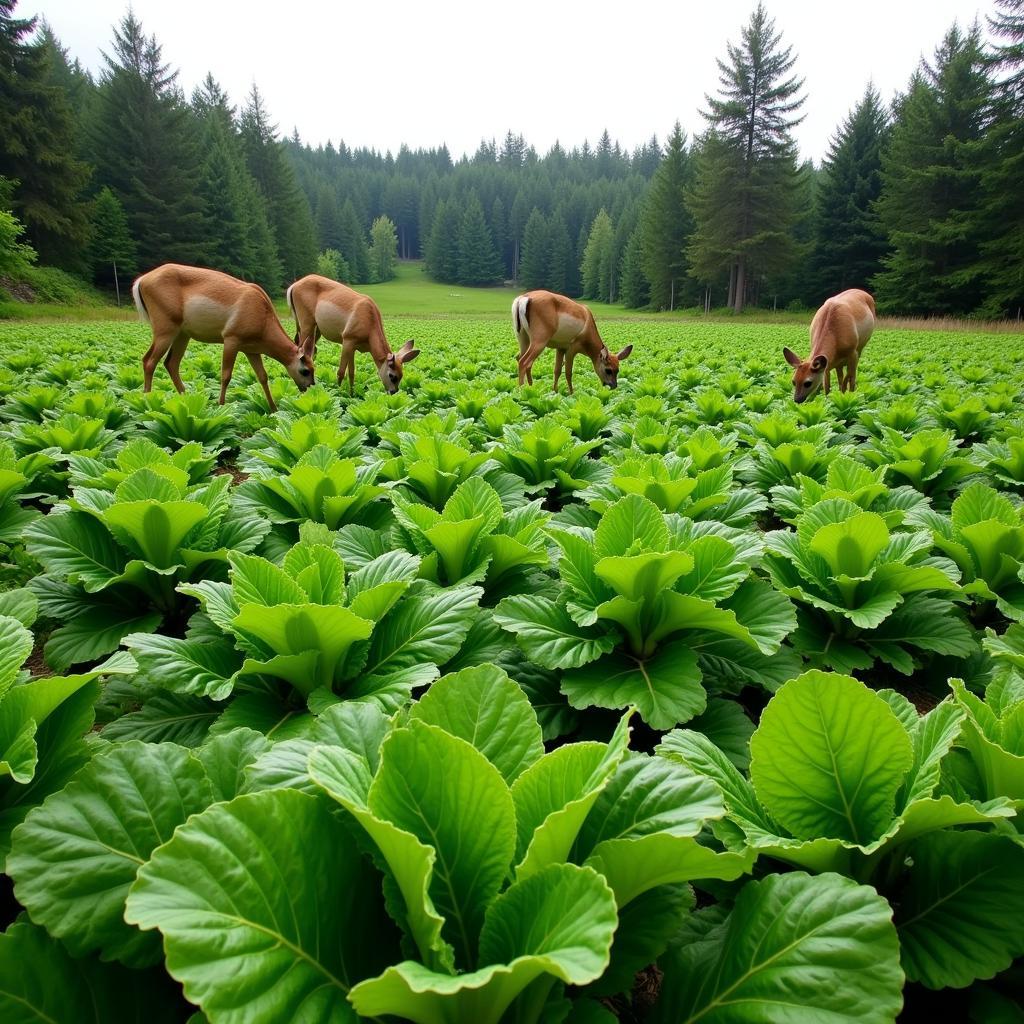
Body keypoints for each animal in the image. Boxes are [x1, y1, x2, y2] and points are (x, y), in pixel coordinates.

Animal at [132, 264, 315, 411]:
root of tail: (142, 280)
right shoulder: (231, 341)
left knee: (171, 363)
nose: (309, 389)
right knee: (149, 361)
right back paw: (147, 400)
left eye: (313, 369)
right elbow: (226, 375)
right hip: (165, 331)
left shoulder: (252, 350)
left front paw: (273, 409)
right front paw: (221, 405)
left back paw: (187, 399)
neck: (262, 314)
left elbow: (263, 376)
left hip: (182, 335)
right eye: (305, 370)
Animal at [286, 274, 417, 393]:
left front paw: (352, 394)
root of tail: (293, 286)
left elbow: (352, 372)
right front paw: (338, 392)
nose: (393, 392)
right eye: (392, 376)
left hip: (316, 329)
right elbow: (341, 371)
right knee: (299, 347)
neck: (369, 321)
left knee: (311, 350)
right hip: (306, 324)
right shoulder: (347, 340)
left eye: (401, 375)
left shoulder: (353, 346)